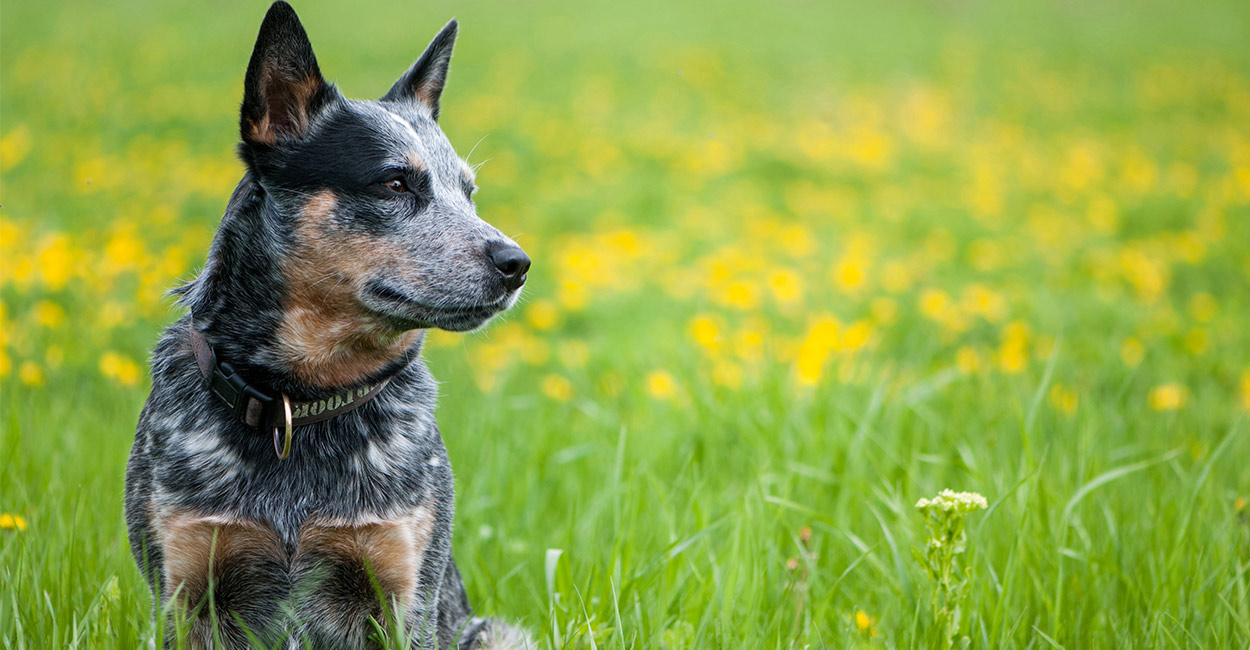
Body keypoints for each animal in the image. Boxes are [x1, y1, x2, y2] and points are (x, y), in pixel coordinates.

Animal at [125, 2, 532, 645]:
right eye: (395, 182)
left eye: (468, 193)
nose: (516, 262)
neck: (301, 401)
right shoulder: (187, 589)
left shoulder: (400, 590)